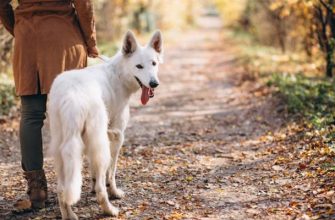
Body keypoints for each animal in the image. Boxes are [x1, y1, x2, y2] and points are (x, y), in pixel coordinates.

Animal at [48, 30, 163, 219]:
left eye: (154, 63)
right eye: (139, 66)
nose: (154, 83)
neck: (118, 74)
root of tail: (71, 95)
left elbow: (93, 172)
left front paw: (92, 186)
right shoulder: (117, 136)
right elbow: (111, 172)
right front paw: (114, 192)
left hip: (61, 148)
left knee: (62, 189)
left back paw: (69, 214)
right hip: (100, 147)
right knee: (101, 187)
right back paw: (110, 209)